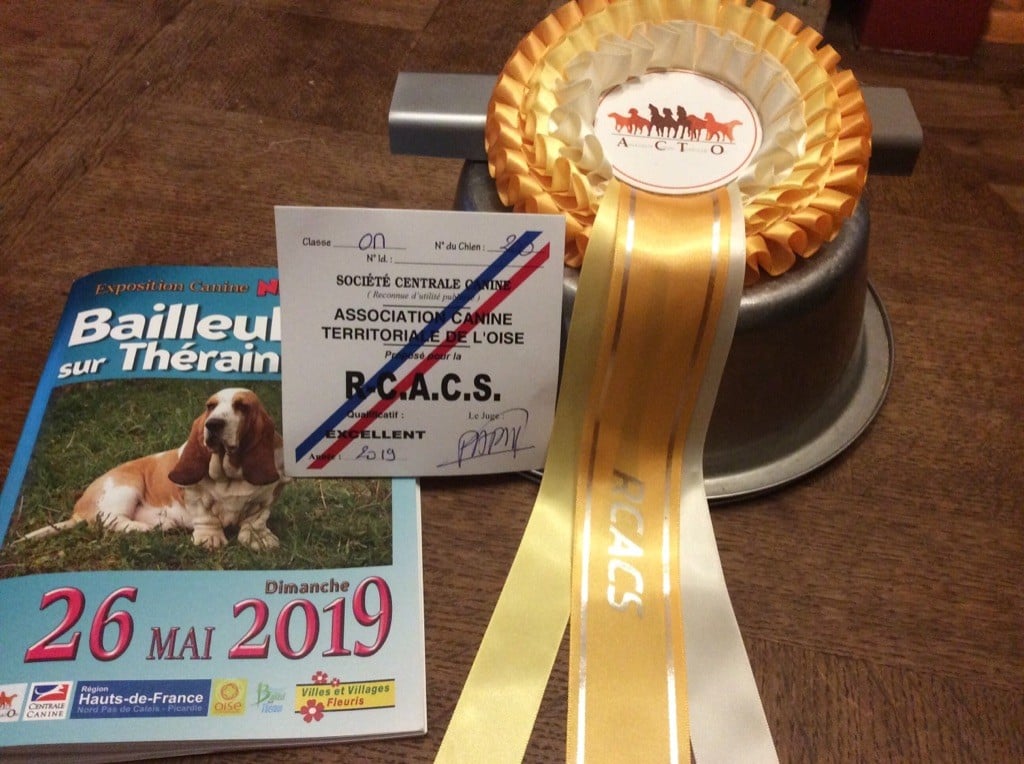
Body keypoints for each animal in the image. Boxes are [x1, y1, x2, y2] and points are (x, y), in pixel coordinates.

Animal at [23, 388, 289, 550]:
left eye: (242, 406)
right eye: (210, 406)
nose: (213, 425)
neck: (230, 472)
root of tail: (77, 511)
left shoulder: (267, 496)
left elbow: (256, 519)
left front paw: (259, 539)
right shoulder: (194, 495)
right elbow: (206, 516)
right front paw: (210, 538)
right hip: (125, 488)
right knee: (109, 521)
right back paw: (147, 527)